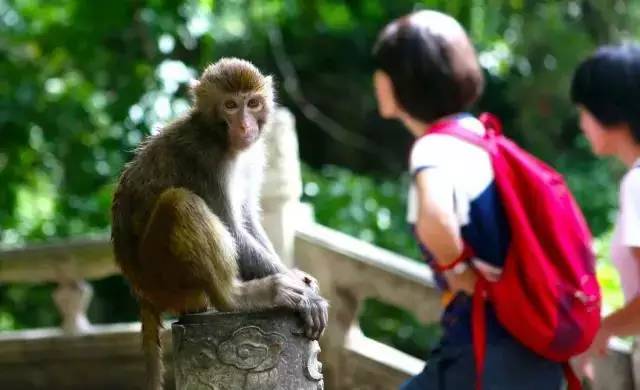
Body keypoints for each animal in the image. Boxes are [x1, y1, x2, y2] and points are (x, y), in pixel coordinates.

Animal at [110, 58, 328, 390]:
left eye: (252, 103)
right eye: (230, 105)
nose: (245, 126)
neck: (217, 135)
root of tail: (142, 292)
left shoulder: (252, 154)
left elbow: (247, 218)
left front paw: (296, 276)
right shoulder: (205, 158)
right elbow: (233, 227)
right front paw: (307, 297)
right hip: (162, 274)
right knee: (179, 202)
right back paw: (237, 297)